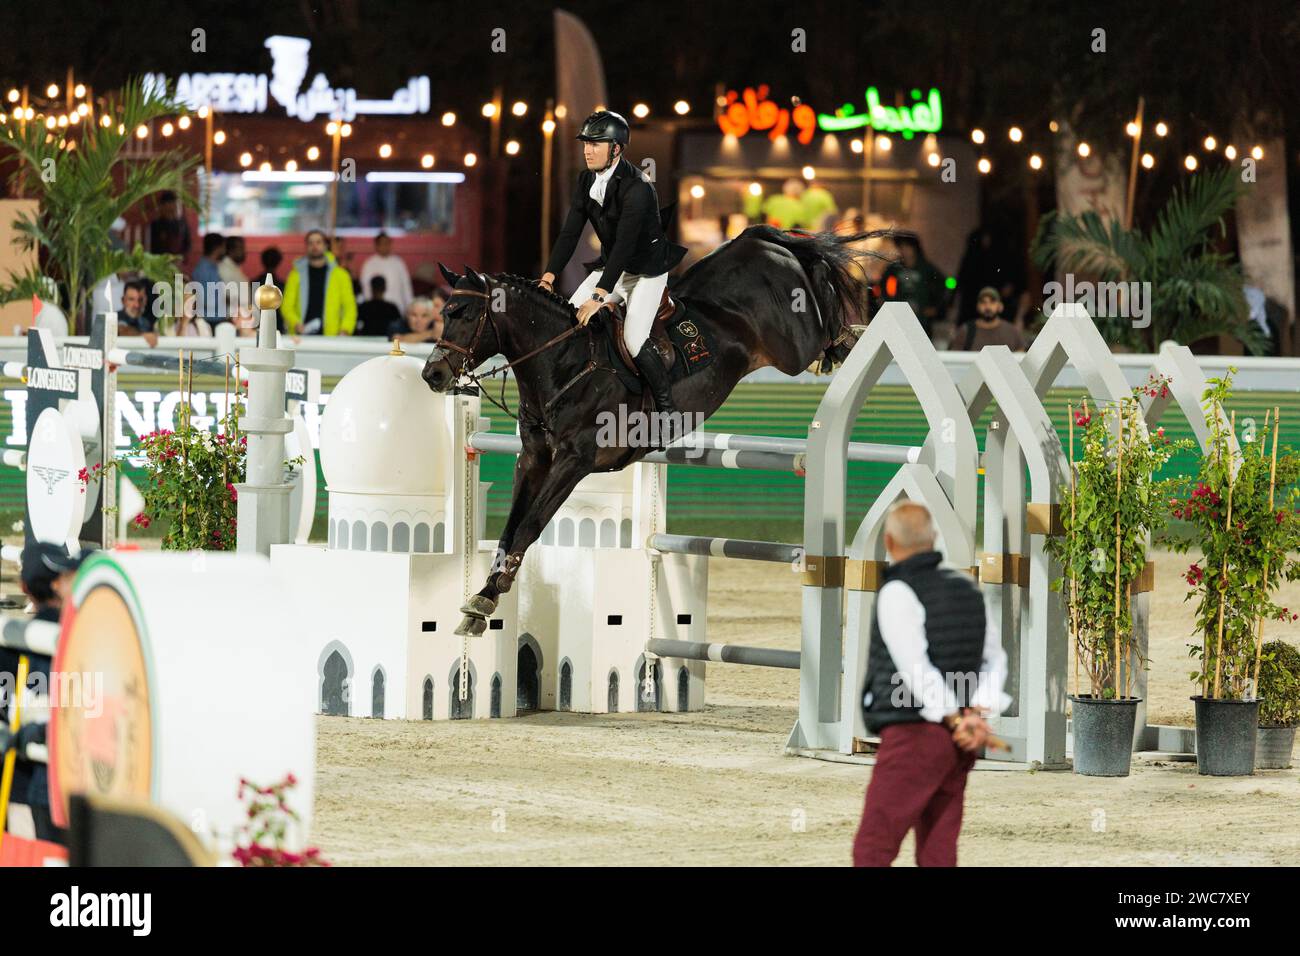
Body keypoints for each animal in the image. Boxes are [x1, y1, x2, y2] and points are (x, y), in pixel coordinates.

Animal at [423, 223, 883, 634]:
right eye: (443, 312)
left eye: (463, 313)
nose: (433, 374)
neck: (565, 362)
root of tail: (758, 242)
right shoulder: (534, 459)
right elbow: (510, 527)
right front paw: (482, 597)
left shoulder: (574, 462)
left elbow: (531, 524)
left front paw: (490, 594)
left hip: (792, 348)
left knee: (819, 319)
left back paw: (852, 335)